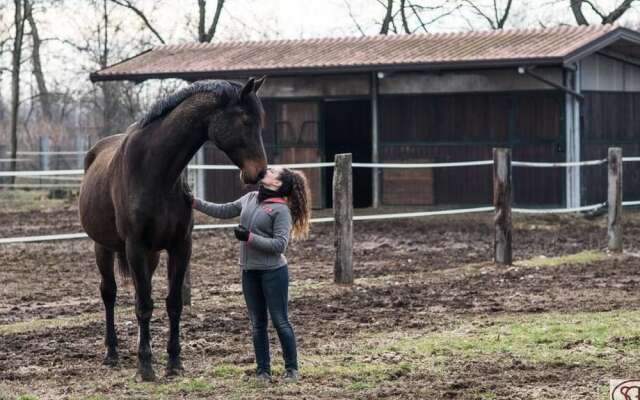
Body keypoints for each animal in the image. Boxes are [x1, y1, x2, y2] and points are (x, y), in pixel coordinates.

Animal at [78, 77, 268, 381]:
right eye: (245, 120)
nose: (259, 173)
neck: (156, 171)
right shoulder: (135, 246)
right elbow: (144, 306)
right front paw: (145, 367)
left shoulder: (180, 246)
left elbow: (172, 303)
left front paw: (173, 361)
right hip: (104, 248)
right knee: (109, 293)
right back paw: (112, 353)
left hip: (151, 255)